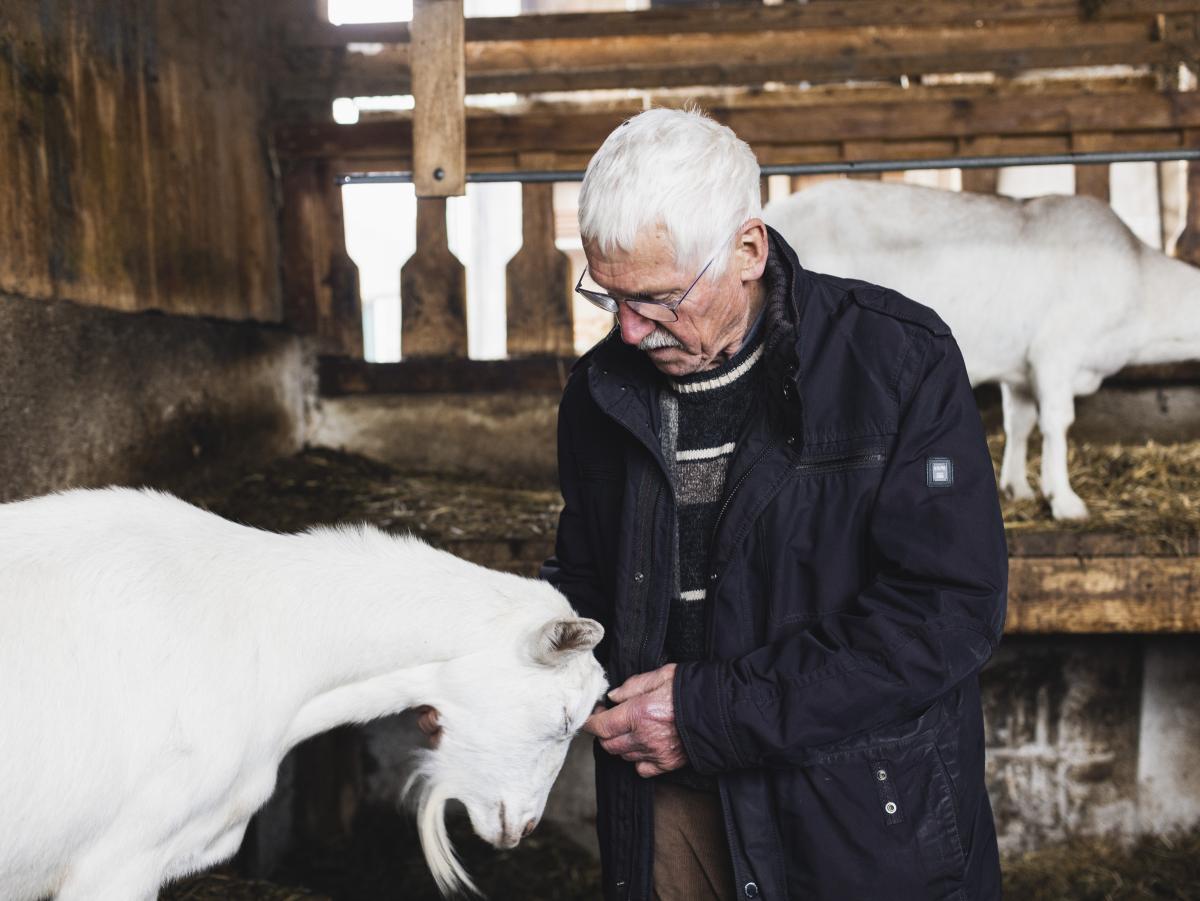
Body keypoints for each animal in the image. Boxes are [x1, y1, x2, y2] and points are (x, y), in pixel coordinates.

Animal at [768, 179, 1200, 518]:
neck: (1142, 287)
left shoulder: (1021, 369)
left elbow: (1020, 422)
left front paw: (1018, 488)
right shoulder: (1057, 352)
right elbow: (1057, 423)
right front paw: (1065, 501)